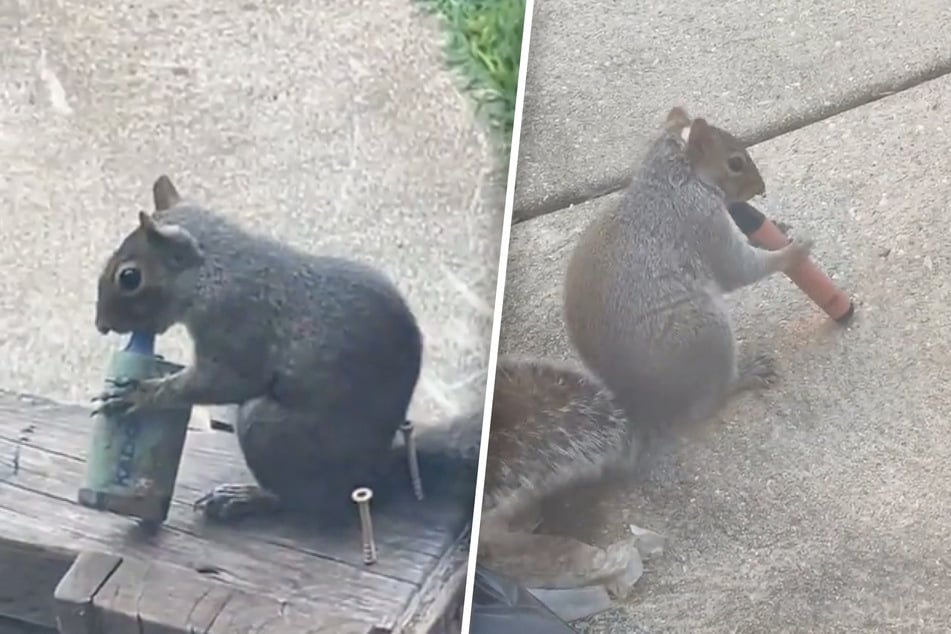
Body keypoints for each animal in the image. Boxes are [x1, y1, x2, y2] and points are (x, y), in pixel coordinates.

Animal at [92, 175, 481, 522]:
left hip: (268, 429)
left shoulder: (237, 328)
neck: (214, 271)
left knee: (306, 501)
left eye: (130, 277)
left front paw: (140, 394)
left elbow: (223, 381)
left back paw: (246, 498)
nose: (101, 325)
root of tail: (375, 469)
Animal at [562, 106, 814, 439]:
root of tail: (644, 404)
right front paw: (794, 252)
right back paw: (746, 374)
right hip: (706, 332)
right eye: (735, 163)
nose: (761, 189)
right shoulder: (702, 222)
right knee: (710, 401)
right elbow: (739, 269)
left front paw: (775, 229)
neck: (675, 180)